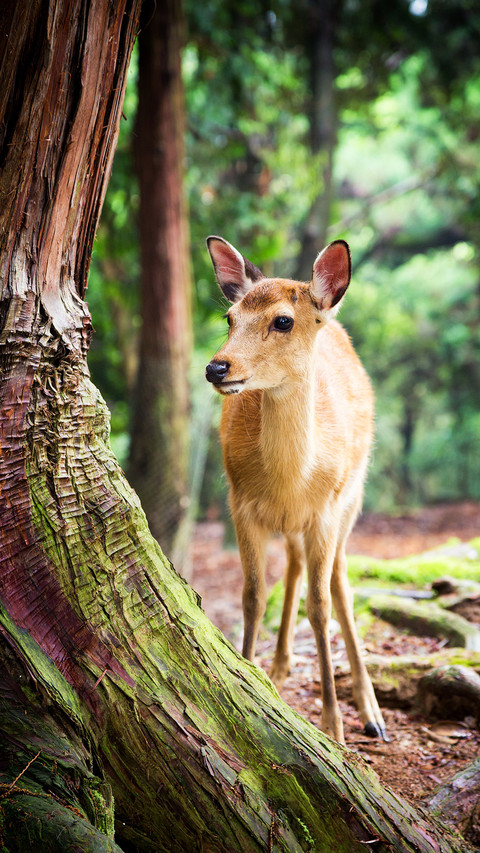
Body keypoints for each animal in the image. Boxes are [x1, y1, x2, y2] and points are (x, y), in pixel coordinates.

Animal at [205, 235, 386, 744]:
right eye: (230, 318)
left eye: (283, 320)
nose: (217, 368)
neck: (290, 480)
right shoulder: (239, 503)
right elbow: (252, 596)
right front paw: (249, 677)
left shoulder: (326, 509)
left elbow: (320, 605)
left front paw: (334, 726)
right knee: (294, 564)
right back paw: (279, 669)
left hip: (353, 497)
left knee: (340, 581)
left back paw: (371, 712)